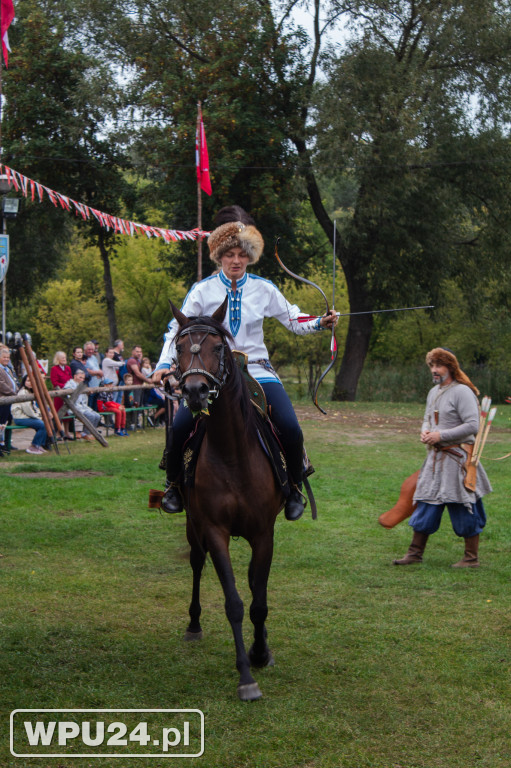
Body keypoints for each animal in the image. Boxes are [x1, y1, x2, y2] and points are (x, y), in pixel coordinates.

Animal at [170, 298, 286, 704]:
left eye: (217, 347)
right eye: (177, 347)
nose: (195, 391)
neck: (233, 451)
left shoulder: (264, 533)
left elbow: (258, 599)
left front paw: (261, 652)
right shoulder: (215, 530)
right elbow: (235, 603)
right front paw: (246, 677)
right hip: (193, 527)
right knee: (196, 564)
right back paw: (193, 624)